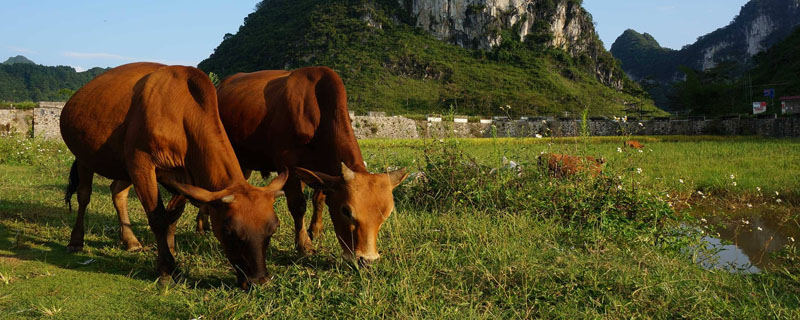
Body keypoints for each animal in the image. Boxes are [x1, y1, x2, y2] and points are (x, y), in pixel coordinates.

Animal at [61, 62, 288, 288]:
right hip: (85, 157)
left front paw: (170, 250)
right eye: (229, 231)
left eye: (273, 229)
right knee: (84, 195)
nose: (259, 280)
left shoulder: (184, 177)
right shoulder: (141, 164)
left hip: (122, 165)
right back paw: (76, 241)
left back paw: (130, 240)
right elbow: (158, 218)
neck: (181, 116)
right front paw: (167, 268)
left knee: (117, 192)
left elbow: (173, 215)